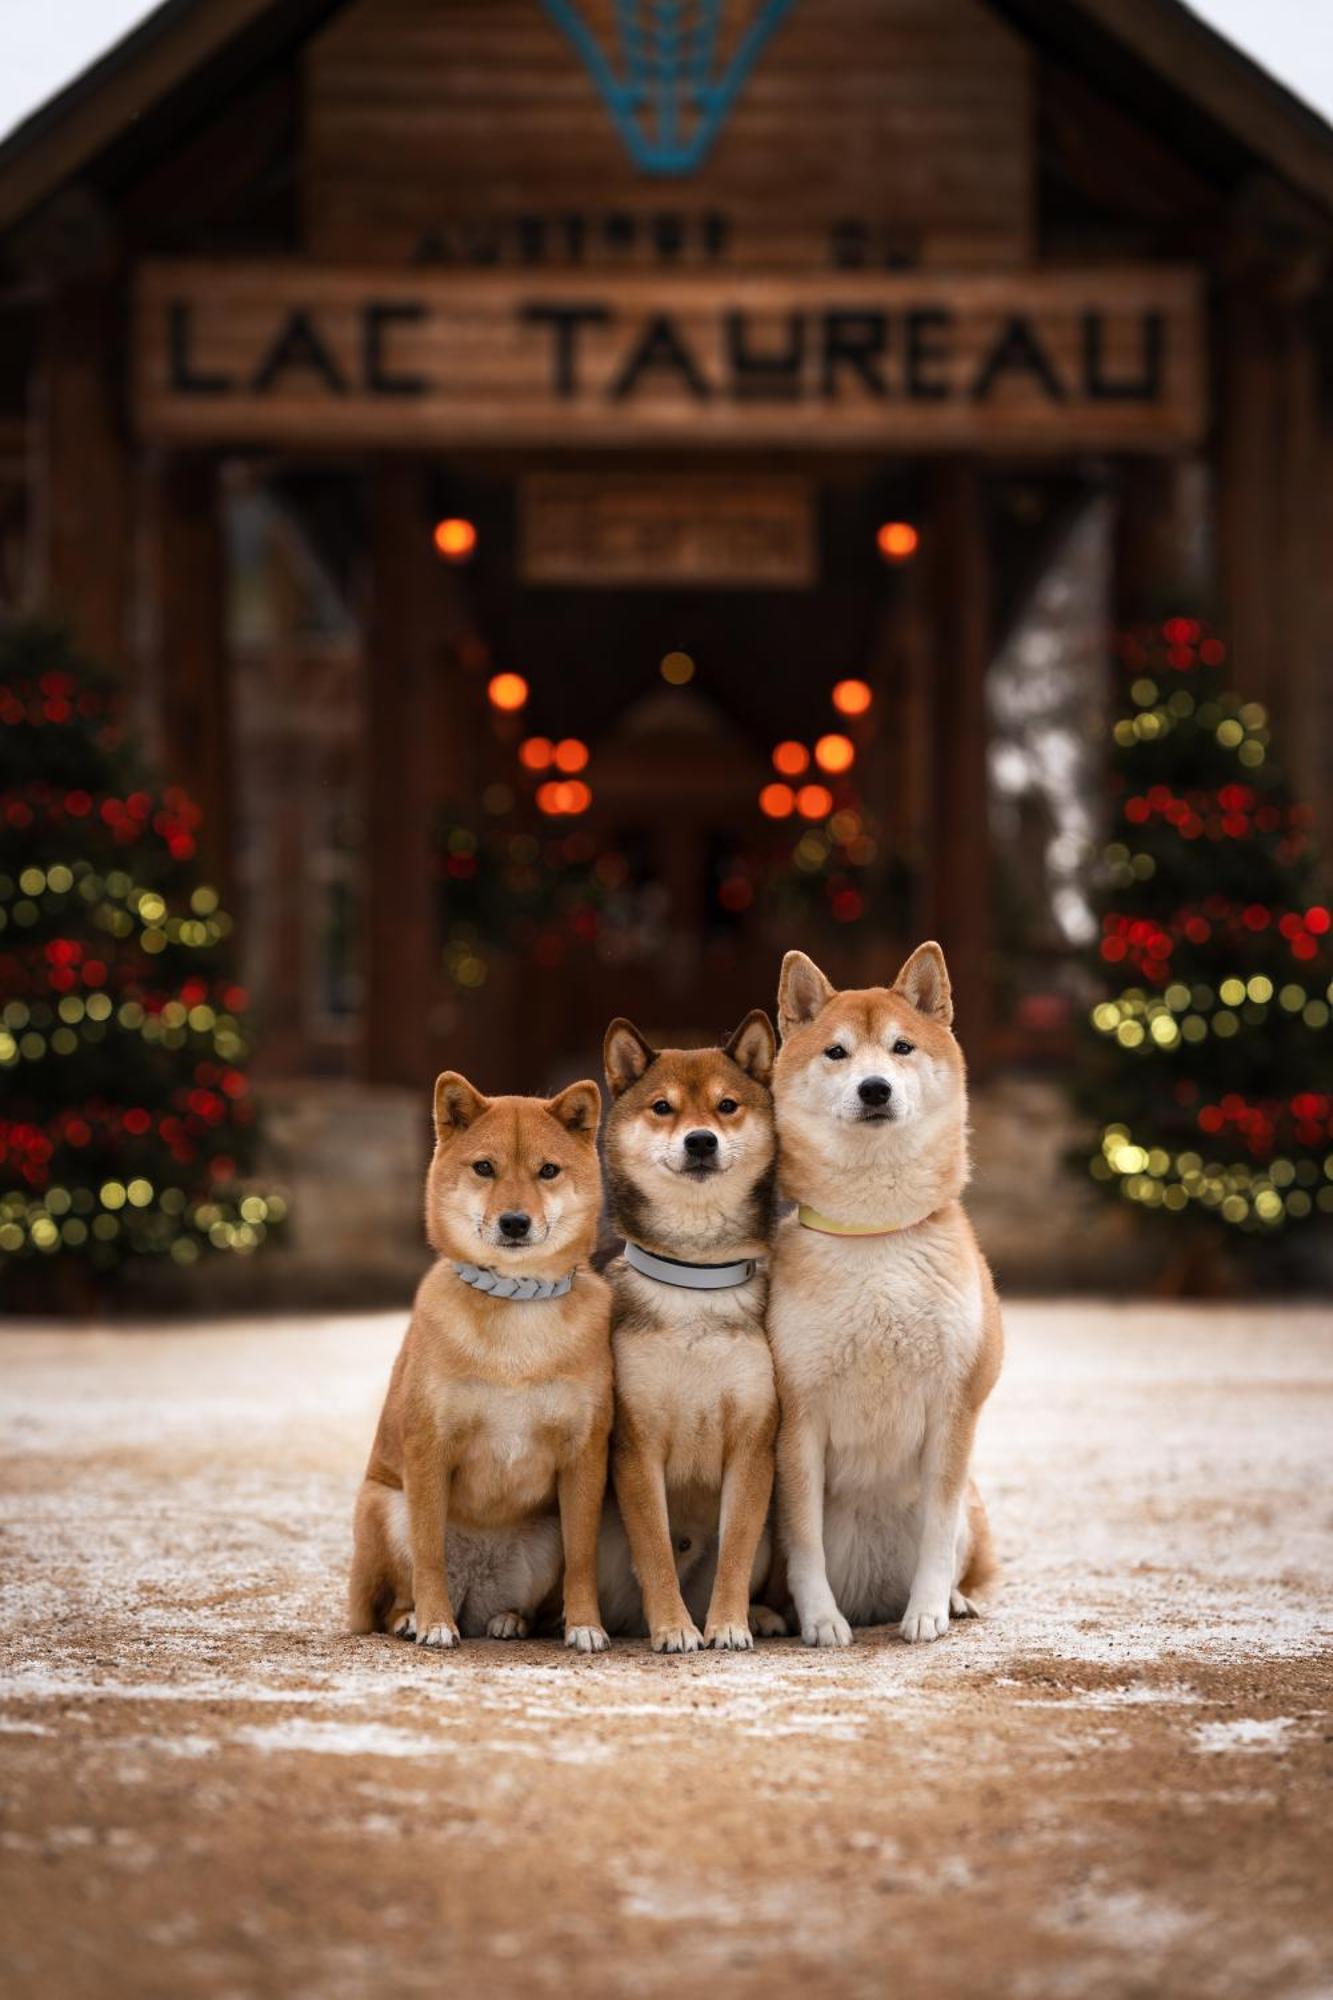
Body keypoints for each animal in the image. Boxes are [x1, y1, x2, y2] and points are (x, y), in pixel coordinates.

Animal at [344, 1080, 608, 1656]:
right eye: (484, 1167)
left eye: (548, 1170)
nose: (514, 1221)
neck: (516, 1304)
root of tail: (474, 1591)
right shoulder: (428, 1448)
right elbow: (429, 1556)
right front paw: (433, 1624)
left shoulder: (583, 1455)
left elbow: (584, 1557)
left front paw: (585, 1626)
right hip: (384, 1506)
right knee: (400, 1595)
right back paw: (412, 1618)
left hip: (544, 1537)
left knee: (521, 1605)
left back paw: (510, 1620)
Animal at [596, 1016, 784, 1656]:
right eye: (662, 1107)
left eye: (727, 1106)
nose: (700, 1140)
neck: (695, 1280)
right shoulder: (637, 1445)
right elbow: (654, 1548)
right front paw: (675, 1628)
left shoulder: (752, 1444)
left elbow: (737, 1549)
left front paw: (727, 1623)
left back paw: (766, 1614)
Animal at [756, 944, 996, 1648]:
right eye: (836, 1052)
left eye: (901, 1047)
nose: (874, 1088)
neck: (875, 1233)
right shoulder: (798, 1419)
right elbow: (805, 1543)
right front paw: (819, 1620)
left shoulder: (953, 1411)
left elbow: (937, 1537)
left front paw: (929, 1611)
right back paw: (771, 1615)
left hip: (974, 1501)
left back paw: (959, 1601)